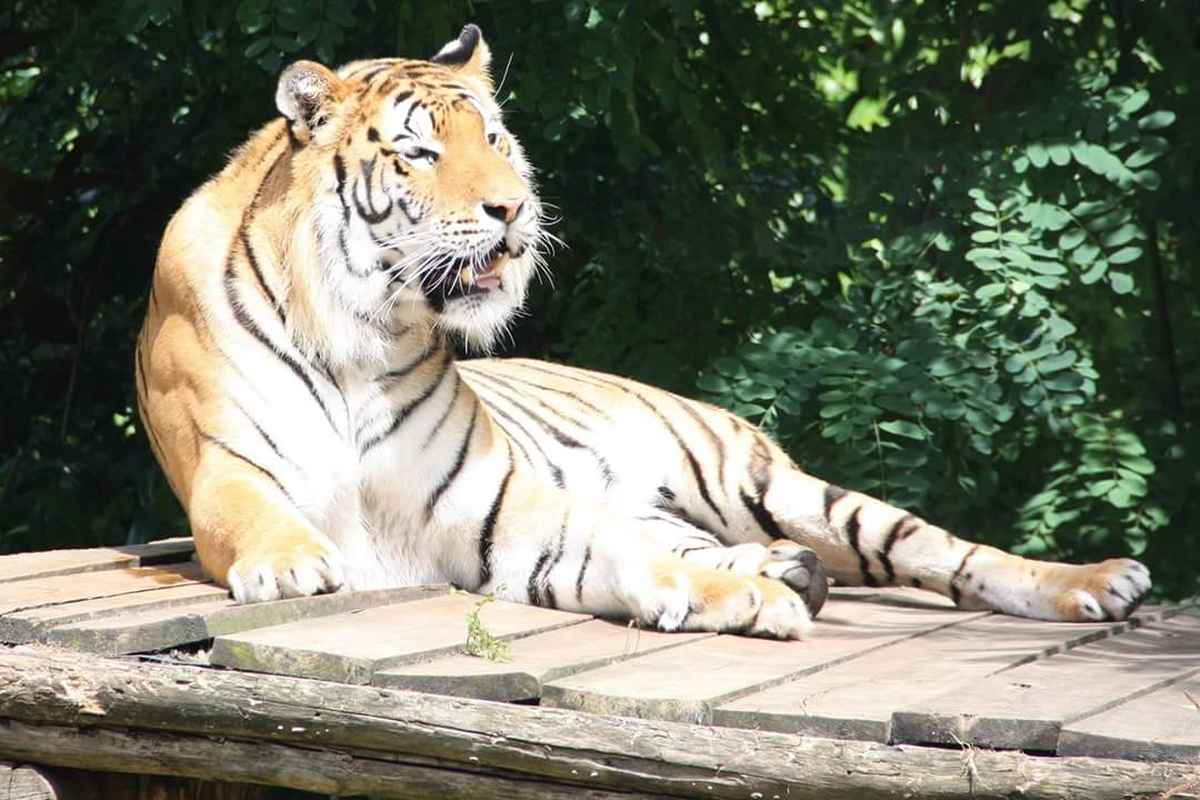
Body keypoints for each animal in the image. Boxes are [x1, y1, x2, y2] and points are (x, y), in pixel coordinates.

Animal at [135, 24, 1151, 640]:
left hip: (771, 484)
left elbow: (620, 550)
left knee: (944, 550)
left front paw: (744, 600)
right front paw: (294, 564)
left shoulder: (500, 509)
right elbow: (257, 516)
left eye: (493, 140)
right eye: (420, 152)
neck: (366, 333)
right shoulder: (228, 468)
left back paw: (1093, 580)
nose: (513, 208)